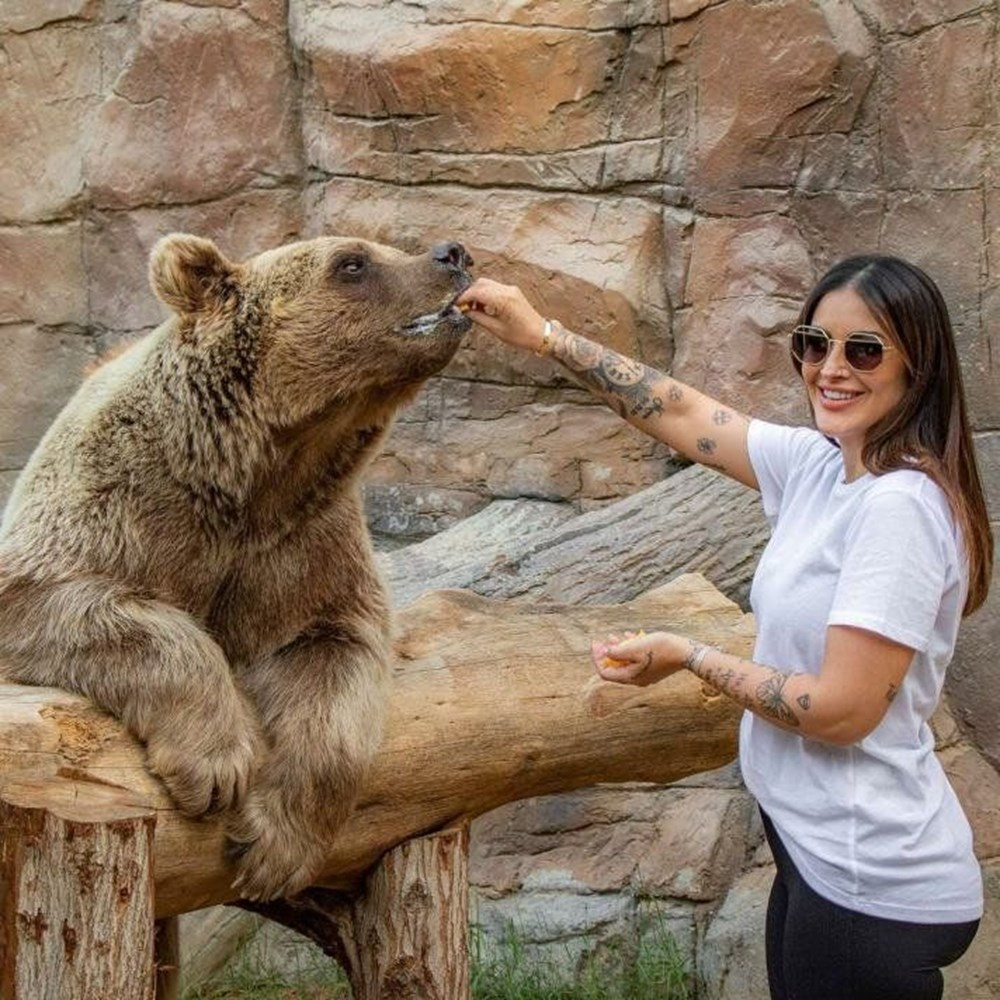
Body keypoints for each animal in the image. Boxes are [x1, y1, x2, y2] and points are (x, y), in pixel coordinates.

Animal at [0, 232, 474, 900]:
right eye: (353, 262)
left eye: (380, 248)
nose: (453, 254)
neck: (256, 471)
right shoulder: (122, 503)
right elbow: (68, 599)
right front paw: (215, 764)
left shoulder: (300, 545)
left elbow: (335, 655)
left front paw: (271, 844)